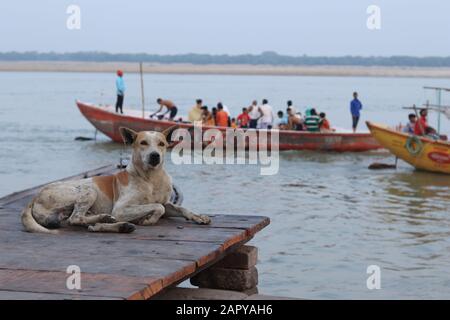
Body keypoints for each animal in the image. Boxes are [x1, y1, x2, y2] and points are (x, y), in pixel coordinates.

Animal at [20, 126, 211, 234]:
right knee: (76, 218)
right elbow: (157, 207)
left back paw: (112, 224)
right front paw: (147, 220)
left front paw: (198, 217)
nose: (155, 156)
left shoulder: (166, 202)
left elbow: (179, 207)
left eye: (162, 144)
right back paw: (107, 219)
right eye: (143, 143)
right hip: (88, 191)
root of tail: (34, 197)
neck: (151, 179)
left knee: (78, 221)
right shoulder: (121, 209)